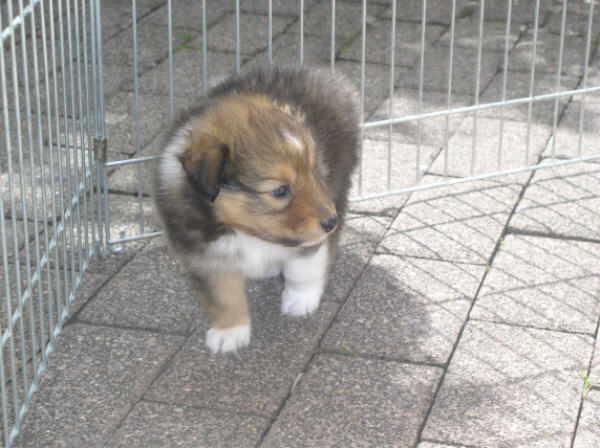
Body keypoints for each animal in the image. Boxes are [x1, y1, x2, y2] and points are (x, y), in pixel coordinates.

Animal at [154, 67, 360, 354]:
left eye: (313, 170)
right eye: (280, 190)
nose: (331, 222)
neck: (244, 231)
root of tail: (321, 75)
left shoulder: (310, 239)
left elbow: (303, 269)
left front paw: (301, 301)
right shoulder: (204, 254)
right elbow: (223, 296)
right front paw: (229, 332)